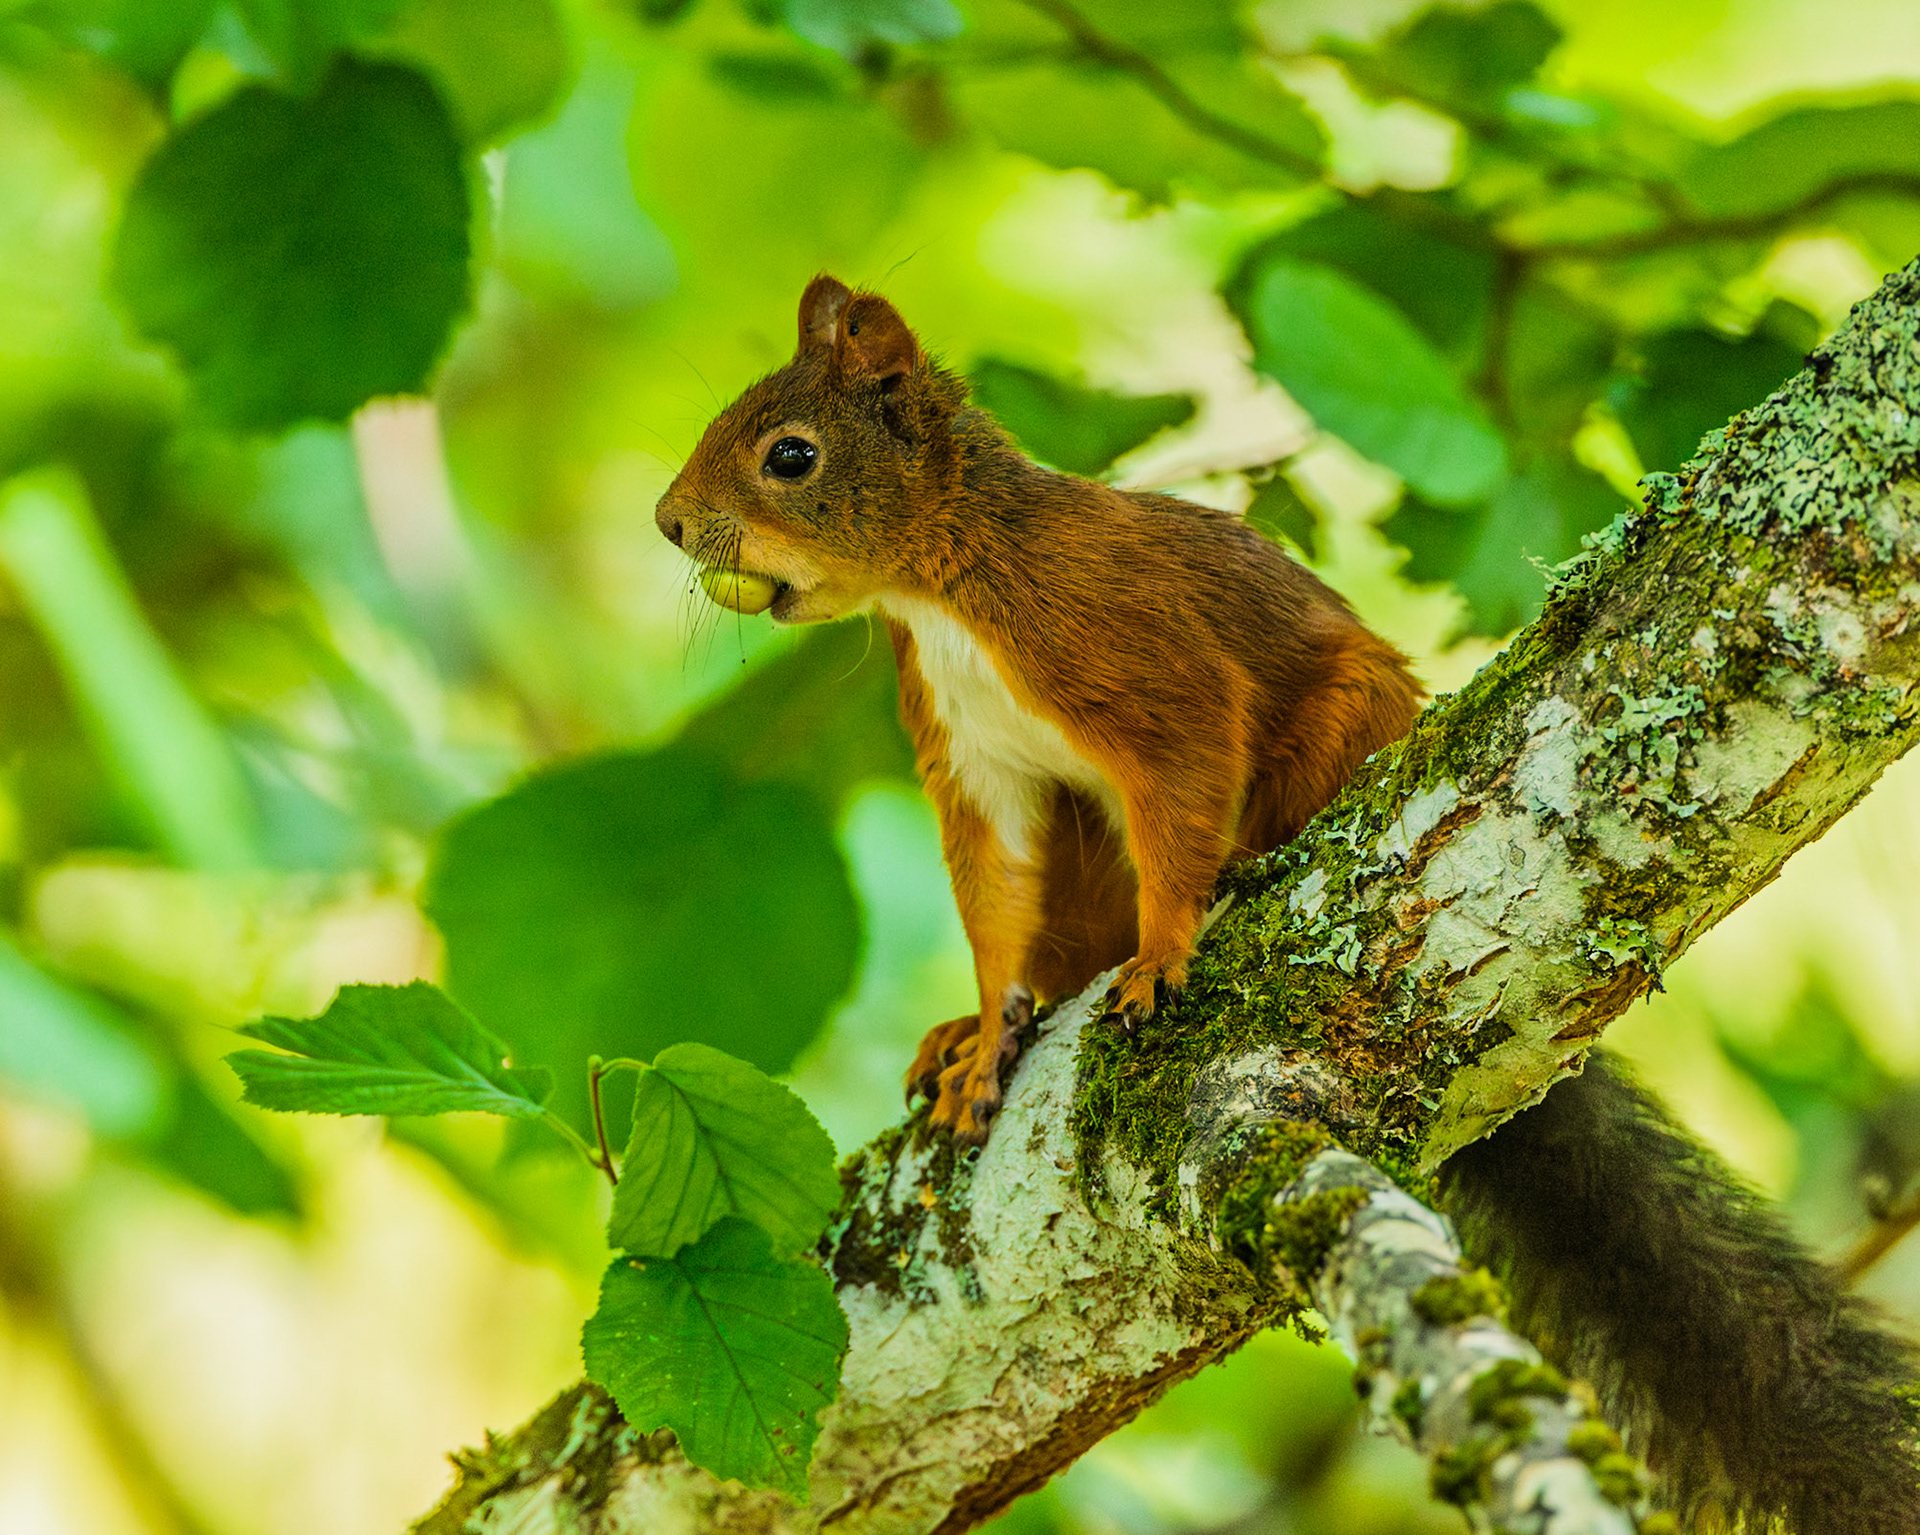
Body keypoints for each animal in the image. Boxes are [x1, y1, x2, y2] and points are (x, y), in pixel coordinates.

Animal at [656, 275, 1920, 1532]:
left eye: (789, 454)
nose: (669, 522)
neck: (943, 588)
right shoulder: (975, 757)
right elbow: (995, 896)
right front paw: (987, 1031)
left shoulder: (1131, 651)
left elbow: (1183, 777)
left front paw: (1164, 952)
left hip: (1339, 721)